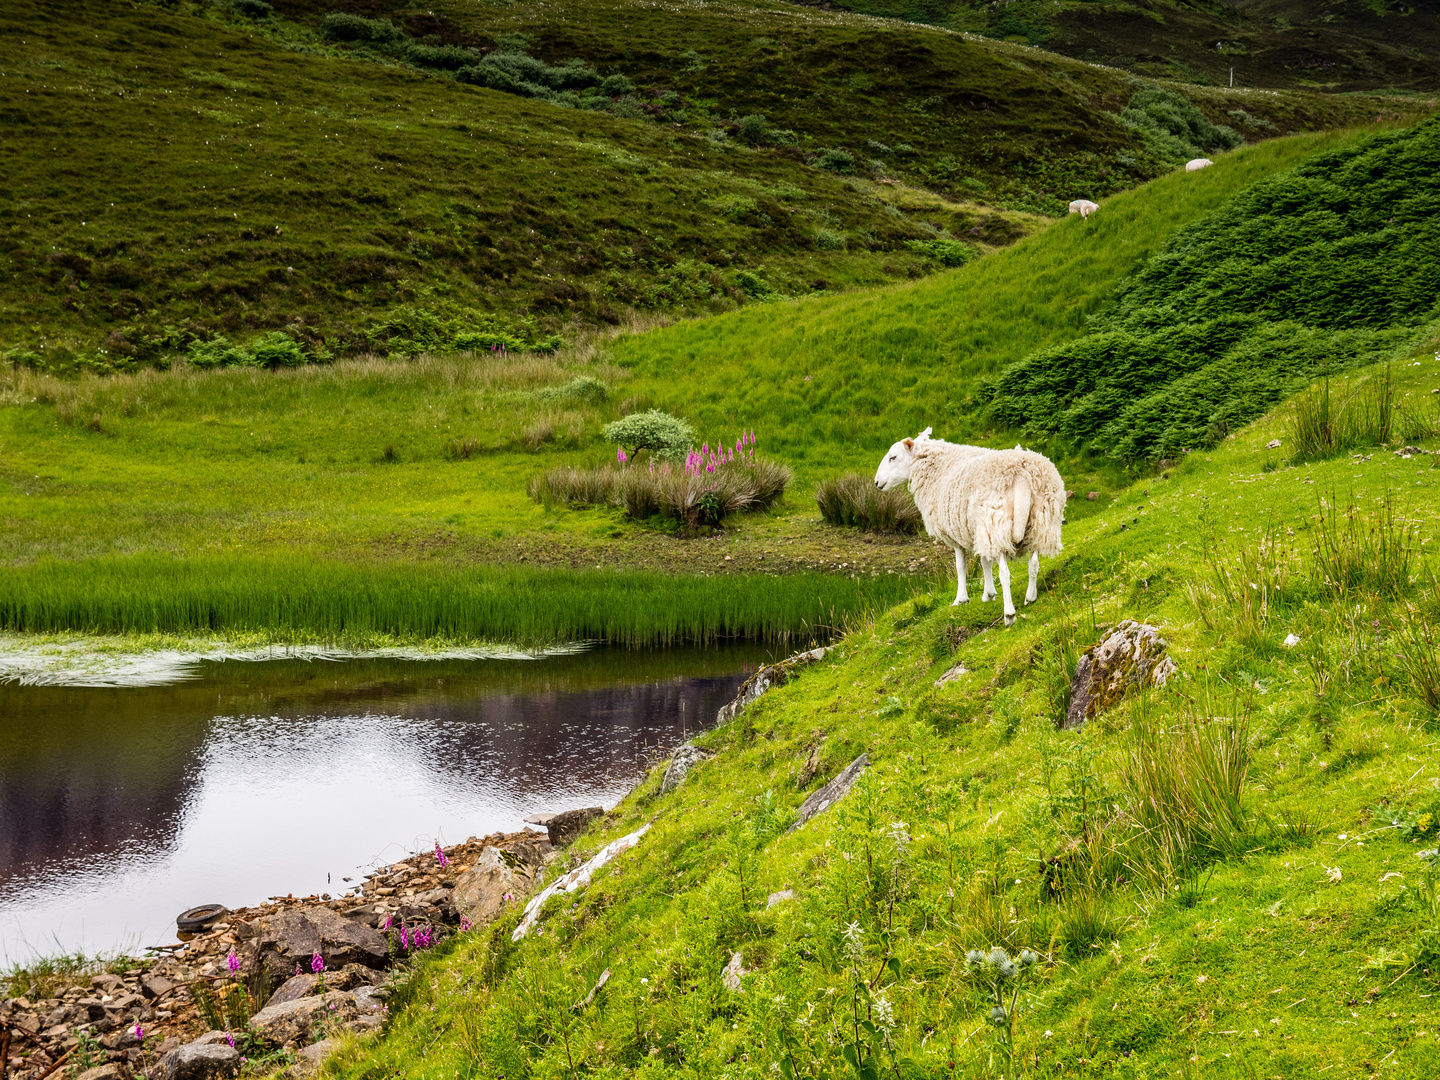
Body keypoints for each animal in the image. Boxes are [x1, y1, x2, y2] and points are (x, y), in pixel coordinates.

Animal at [869, 437, 1065, 630]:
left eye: (893, 457)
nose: (877, 483)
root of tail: (1021, 472)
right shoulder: (977, 530)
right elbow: (985, 562)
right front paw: (989, 594)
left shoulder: (959, 536)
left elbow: (960, 566)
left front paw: (961, 599)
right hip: (1039, 523)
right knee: (1034, 563)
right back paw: (1030, 597)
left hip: (995, 522)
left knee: (1005, 573)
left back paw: (1009, 614)